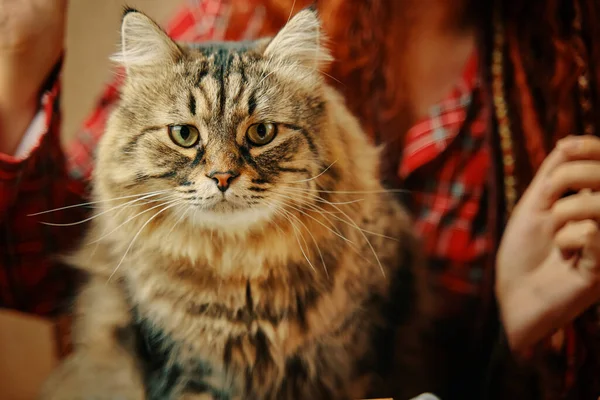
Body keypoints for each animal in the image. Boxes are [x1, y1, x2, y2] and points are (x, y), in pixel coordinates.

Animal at [39, 7, 428, 400]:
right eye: (184, 134)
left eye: (261, 133)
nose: (222, 177)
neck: (238, 269)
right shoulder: (179, 369)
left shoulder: (352, 361)